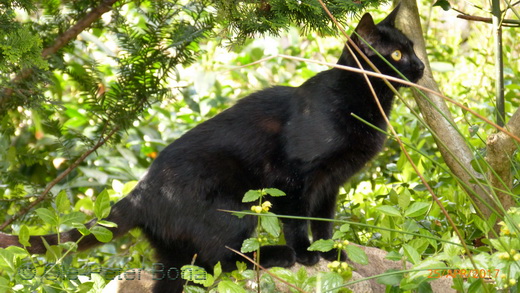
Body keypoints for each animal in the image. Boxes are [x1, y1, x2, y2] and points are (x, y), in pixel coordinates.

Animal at [1, 4, 422, 292]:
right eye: (396, 55)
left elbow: (323, 221)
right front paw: (306, 254)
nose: (420, 66)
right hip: (236, 210)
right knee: (226, 261)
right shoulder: (293, 178)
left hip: (175, 254)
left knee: (194, 274)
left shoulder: (330, 183)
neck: (362, 101)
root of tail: (139, 192)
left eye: (413, 48)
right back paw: (277, 255)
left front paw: (331, 251)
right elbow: (297, 221)